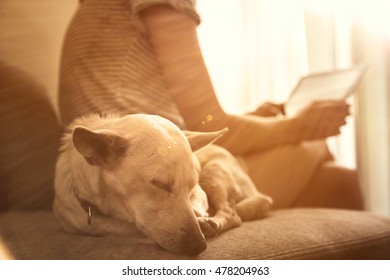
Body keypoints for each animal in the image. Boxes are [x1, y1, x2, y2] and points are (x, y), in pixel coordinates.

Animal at [54, 114, 272, 256]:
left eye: (191, 186)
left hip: (214, 171)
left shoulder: (200, 192)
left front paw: (201, 217)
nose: (199, 246)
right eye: (159, 183)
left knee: (232, 214)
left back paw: (212, 222)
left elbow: (198, 207)